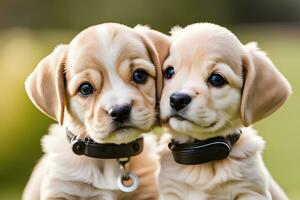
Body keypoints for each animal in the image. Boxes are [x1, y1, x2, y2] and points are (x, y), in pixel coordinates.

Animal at [158, 22, 292, 199]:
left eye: (216, 79)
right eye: (169, 71)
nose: (177, 99)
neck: (202, 160)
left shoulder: (251, 191)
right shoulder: (169, 192)